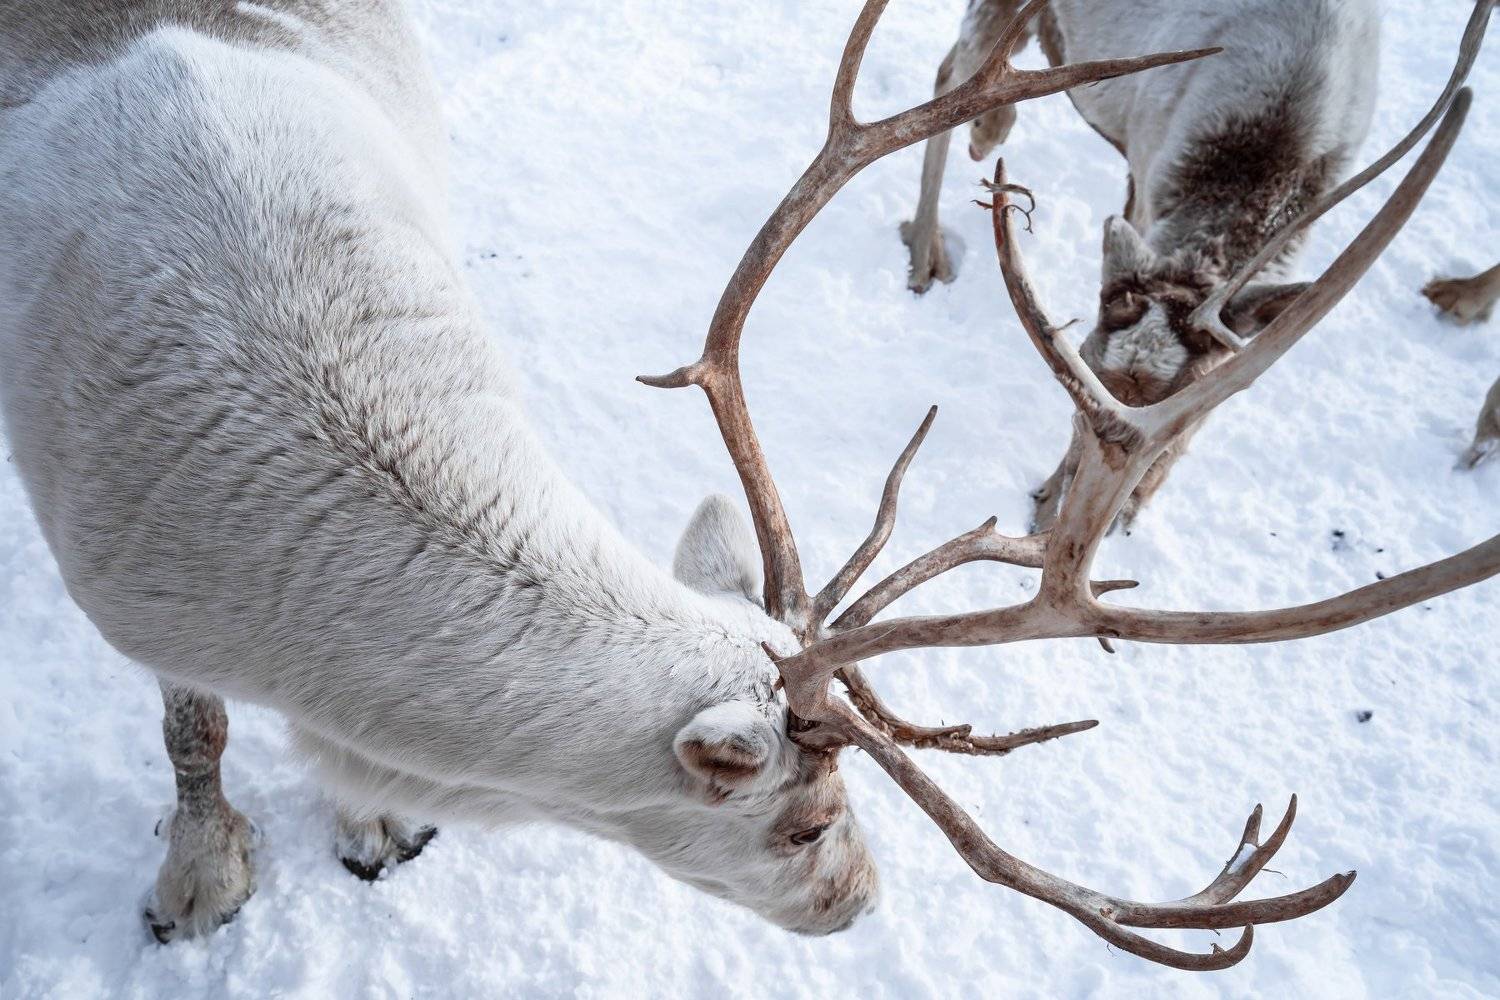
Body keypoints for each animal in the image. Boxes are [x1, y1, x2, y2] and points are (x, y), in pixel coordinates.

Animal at [903, 0, 1393, 532]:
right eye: (1088, 364)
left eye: (1186, 416)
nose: (1056, 512)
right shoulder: (1147, 172)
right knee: (951, 75)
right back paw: (929, 248)